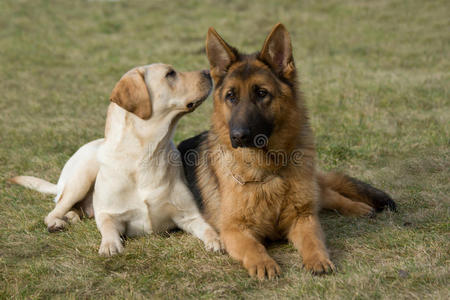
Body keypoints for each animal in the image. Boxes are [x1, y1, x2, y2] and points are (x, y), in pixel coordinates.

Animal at [10, 63, 221, 255]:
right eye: (170, 73)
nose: (208, 72)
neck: (146, 154)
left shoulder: (189, 216)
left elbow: (209, 229)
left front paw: (216, 241)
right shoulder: (109, 213)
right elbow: (108, 227)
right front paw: (110, 245)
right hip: (82, 176)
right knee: (54, 210)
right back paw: (57, 222)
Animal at [178, 23, 396, 278]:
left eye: (261, 93)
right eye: (231, 96)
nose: (238, 136)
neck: (269, 170)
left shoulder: (303, 218)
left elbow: (313, 241)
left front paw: (318, 259)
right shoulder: (234, 231)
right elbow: (253, 247)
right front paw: (264, 263)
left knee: (331, 195)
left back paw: (359, 207)